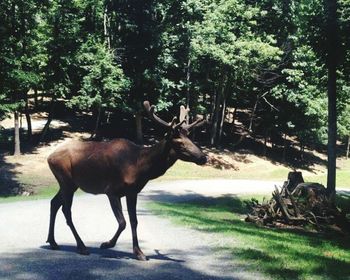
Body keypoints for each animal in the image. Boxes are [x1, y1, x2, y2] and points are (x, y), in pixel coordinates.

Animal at [45, 100, 206, 260]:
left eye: (190, 139)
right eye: (179, 142)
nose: (204, 157)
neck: (140, 167)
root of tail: (49, 157)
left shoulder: (132, 192)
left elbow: (134, 221)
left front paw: (139, 252)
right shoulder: (111, 190)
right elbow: (122, 222)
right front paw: (107, 244)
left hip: (70, 184)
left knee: (54, 203)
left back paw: (52, 242)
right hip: (65, 180)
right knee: (66, 210)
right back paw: (81, 246)